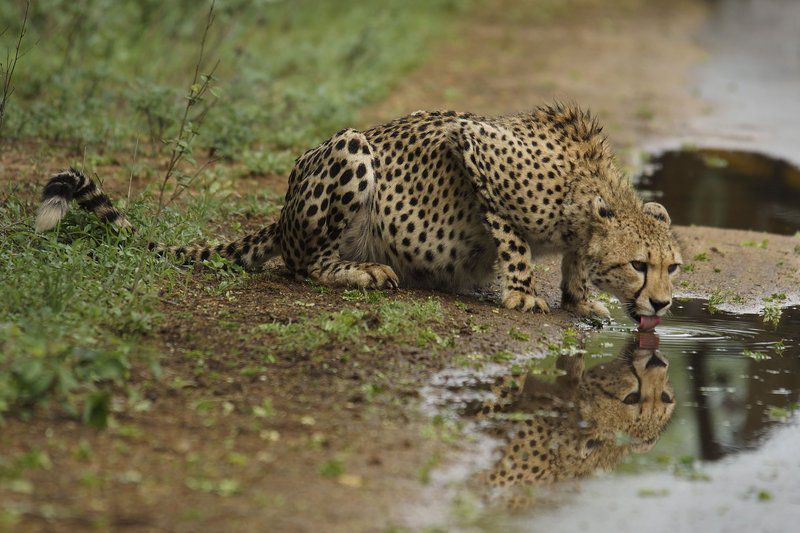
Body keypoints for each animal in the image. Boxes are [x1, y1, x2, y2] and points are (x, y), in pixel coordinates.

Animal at [36, 102, 680, 322]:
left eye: (672, 268)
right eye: (639, 265)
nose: (664, 304)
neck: (589, 189)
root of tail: (282, 210)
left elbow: (573, 262)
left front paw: (581, 298)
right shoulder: (473, 143)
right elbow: (512, 235)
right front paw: (523, 292)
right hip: (352, 149)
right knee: (304, 266)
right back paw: (364, 271)